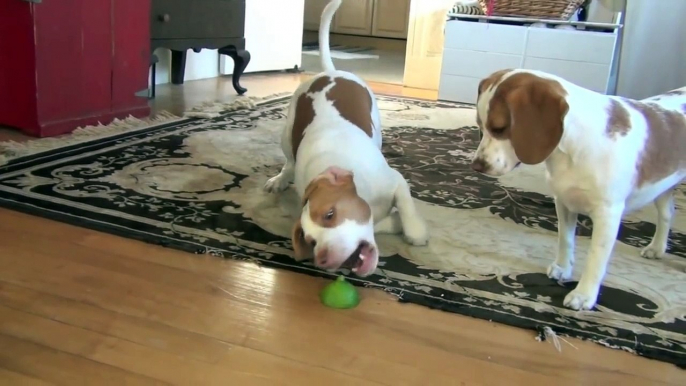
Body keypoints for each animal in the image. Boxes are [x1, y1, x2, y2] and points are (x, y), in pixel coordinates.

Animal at [264, 0, 430, 278]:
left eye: (330, 214)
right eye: (310, 241)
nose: (323, 258)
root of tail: (331, 72)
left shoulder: (396, 181)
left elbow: (406, 206)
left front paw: (415, 231)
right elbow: (378, 223)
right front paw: (394, 223)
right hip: (287, 133)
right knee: (289, 161)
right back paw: (280, 179)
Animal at [470, 68, 686, 310]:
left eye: (499, 128)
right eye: (480, 125)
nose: (477, 165)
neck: (572, 147)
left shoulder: (607, 214)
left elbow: (595, 257)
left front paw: (584, 295)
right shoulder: (563, 201)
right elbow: (565, 239)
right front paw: (563, 268)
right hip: (663, 186)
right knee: (667, 213)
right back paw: (657, 248)